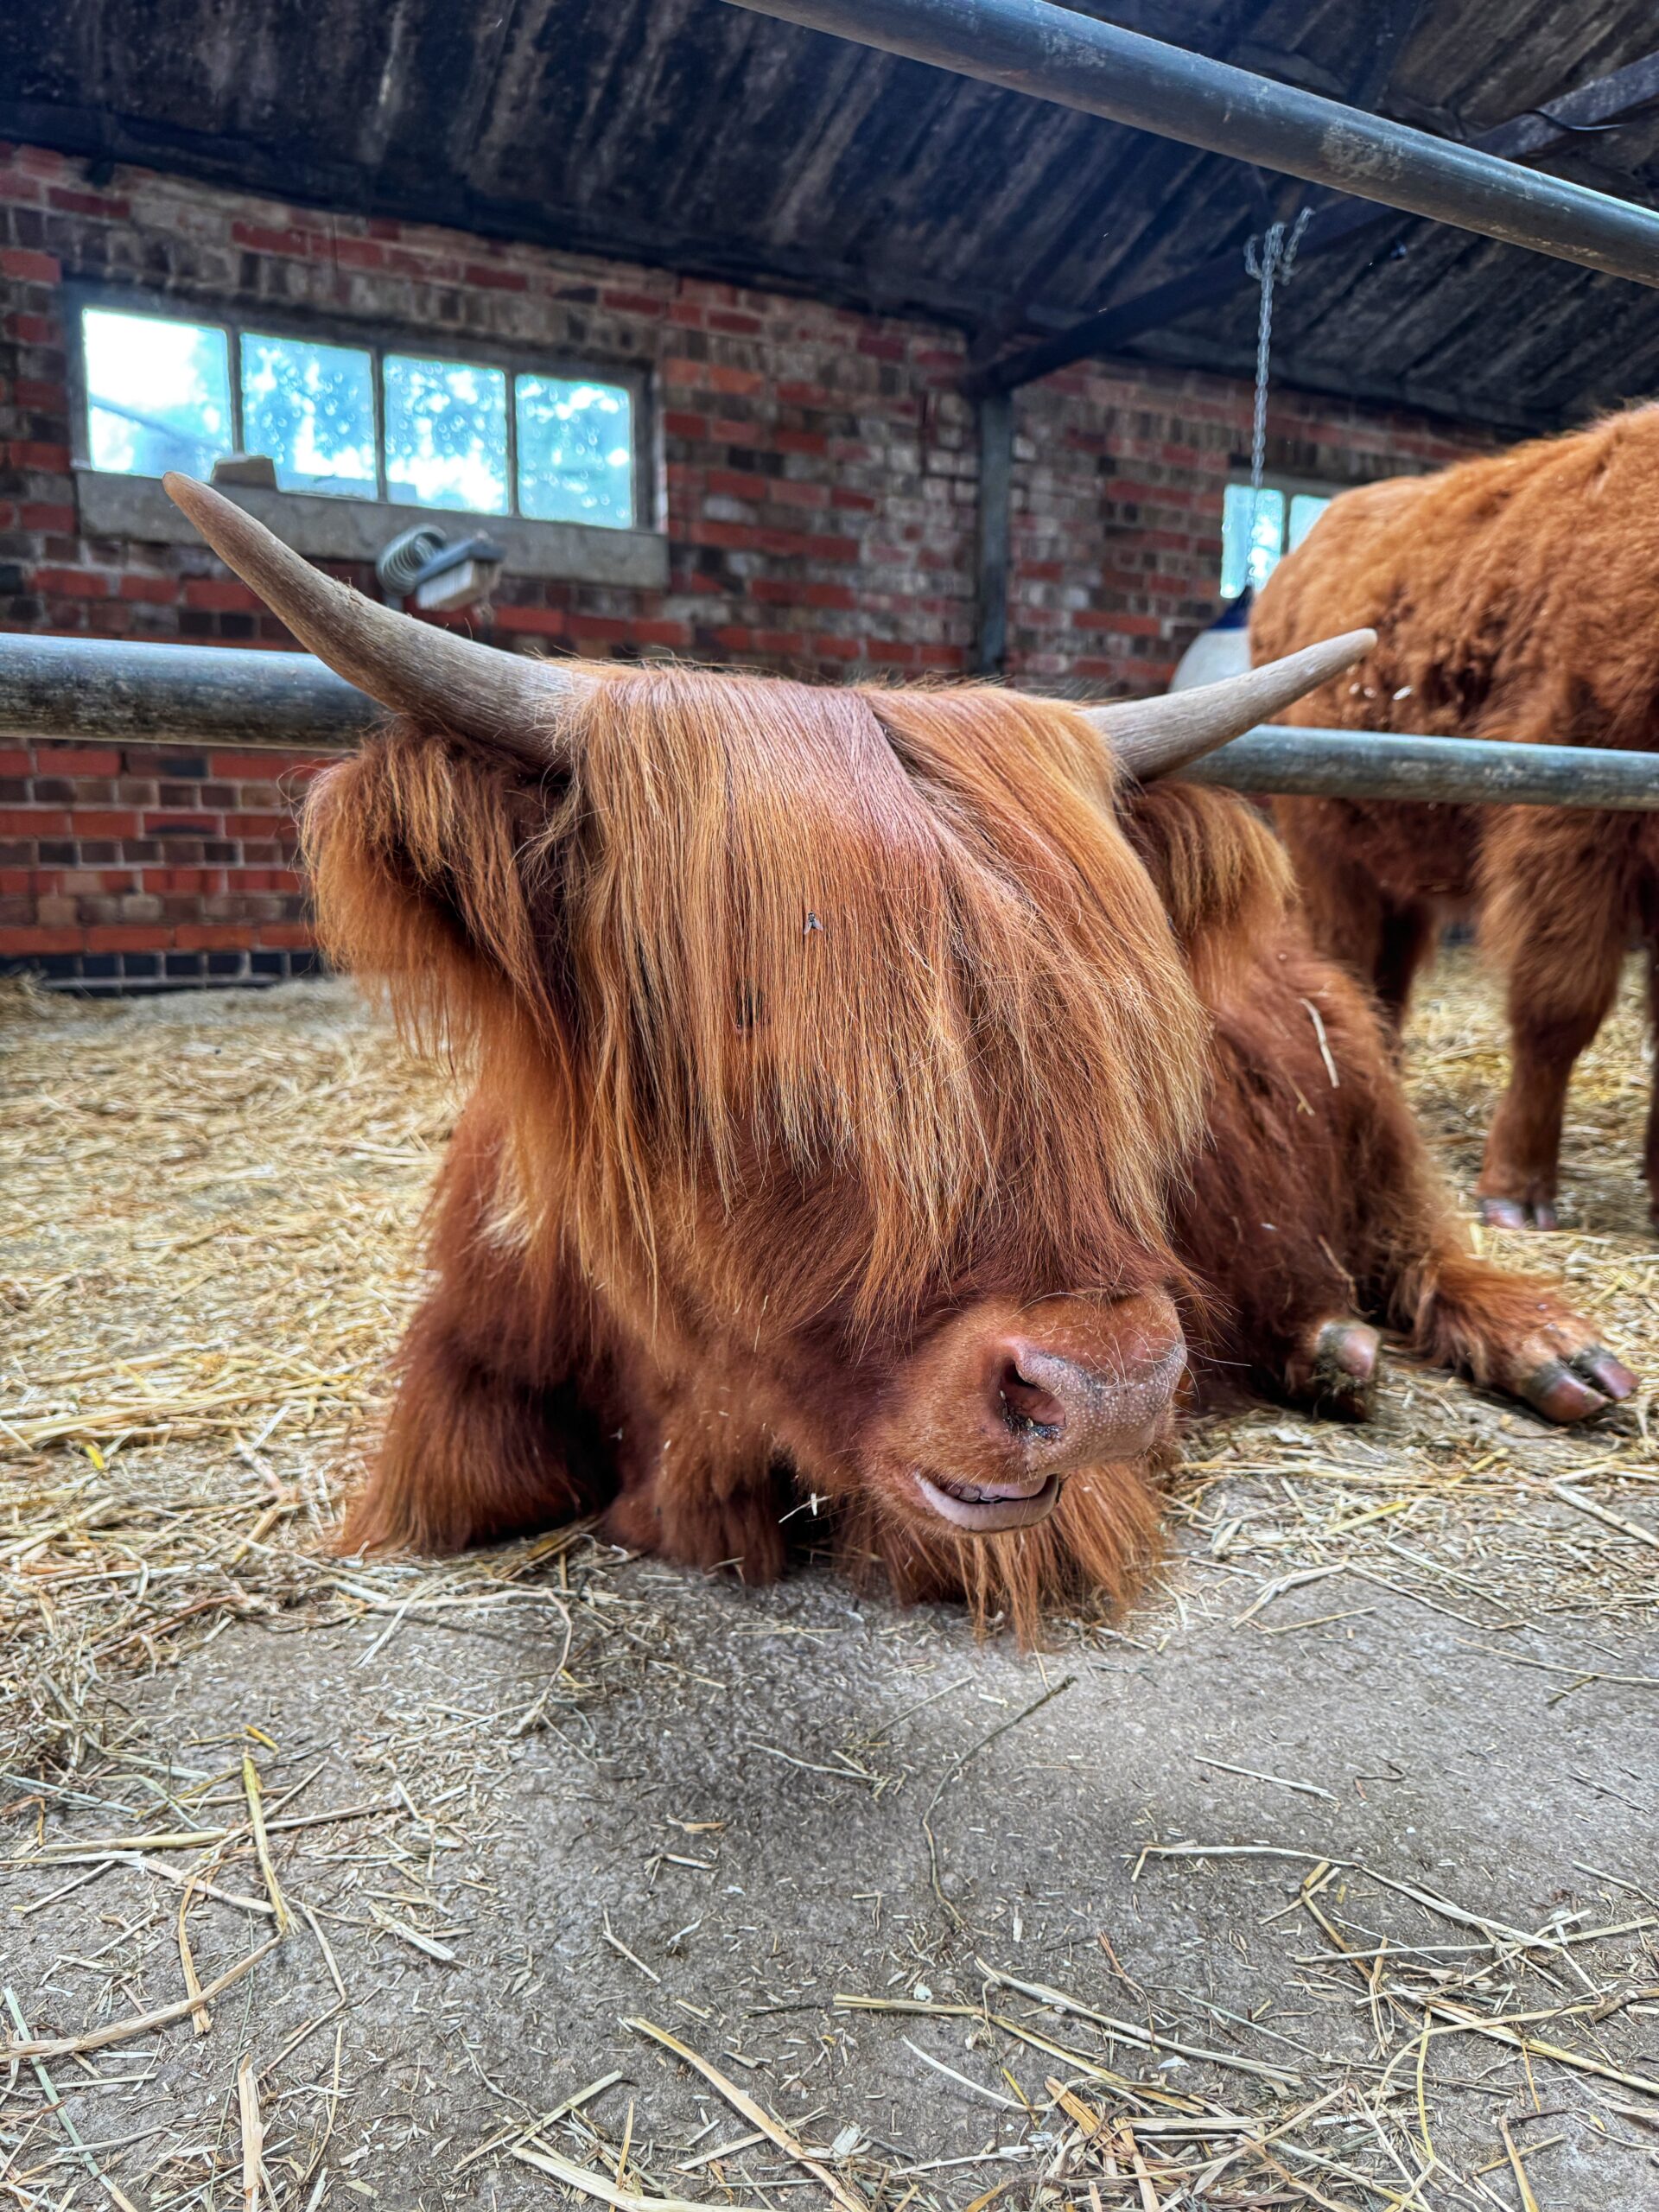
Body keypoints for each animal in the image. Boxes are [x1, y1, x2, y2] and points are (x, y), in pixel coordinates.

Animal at [164, 476, 1634, 1638]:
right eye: (759, 1031)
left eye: (1125, 1043)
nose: (1112, 1391)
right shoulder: (452, 1425)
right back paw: (1330, 1345)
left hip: (1364, 1084)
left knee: (1419, 1232)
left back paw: (1541, 1345)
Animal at [1253, 407, 1659, 1231]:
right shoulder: (1567, 835)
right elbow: (1558, 1006)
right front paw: (1517, 1189)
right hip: (1324, 846)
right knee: (1345, 962)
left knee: (1388, 974)